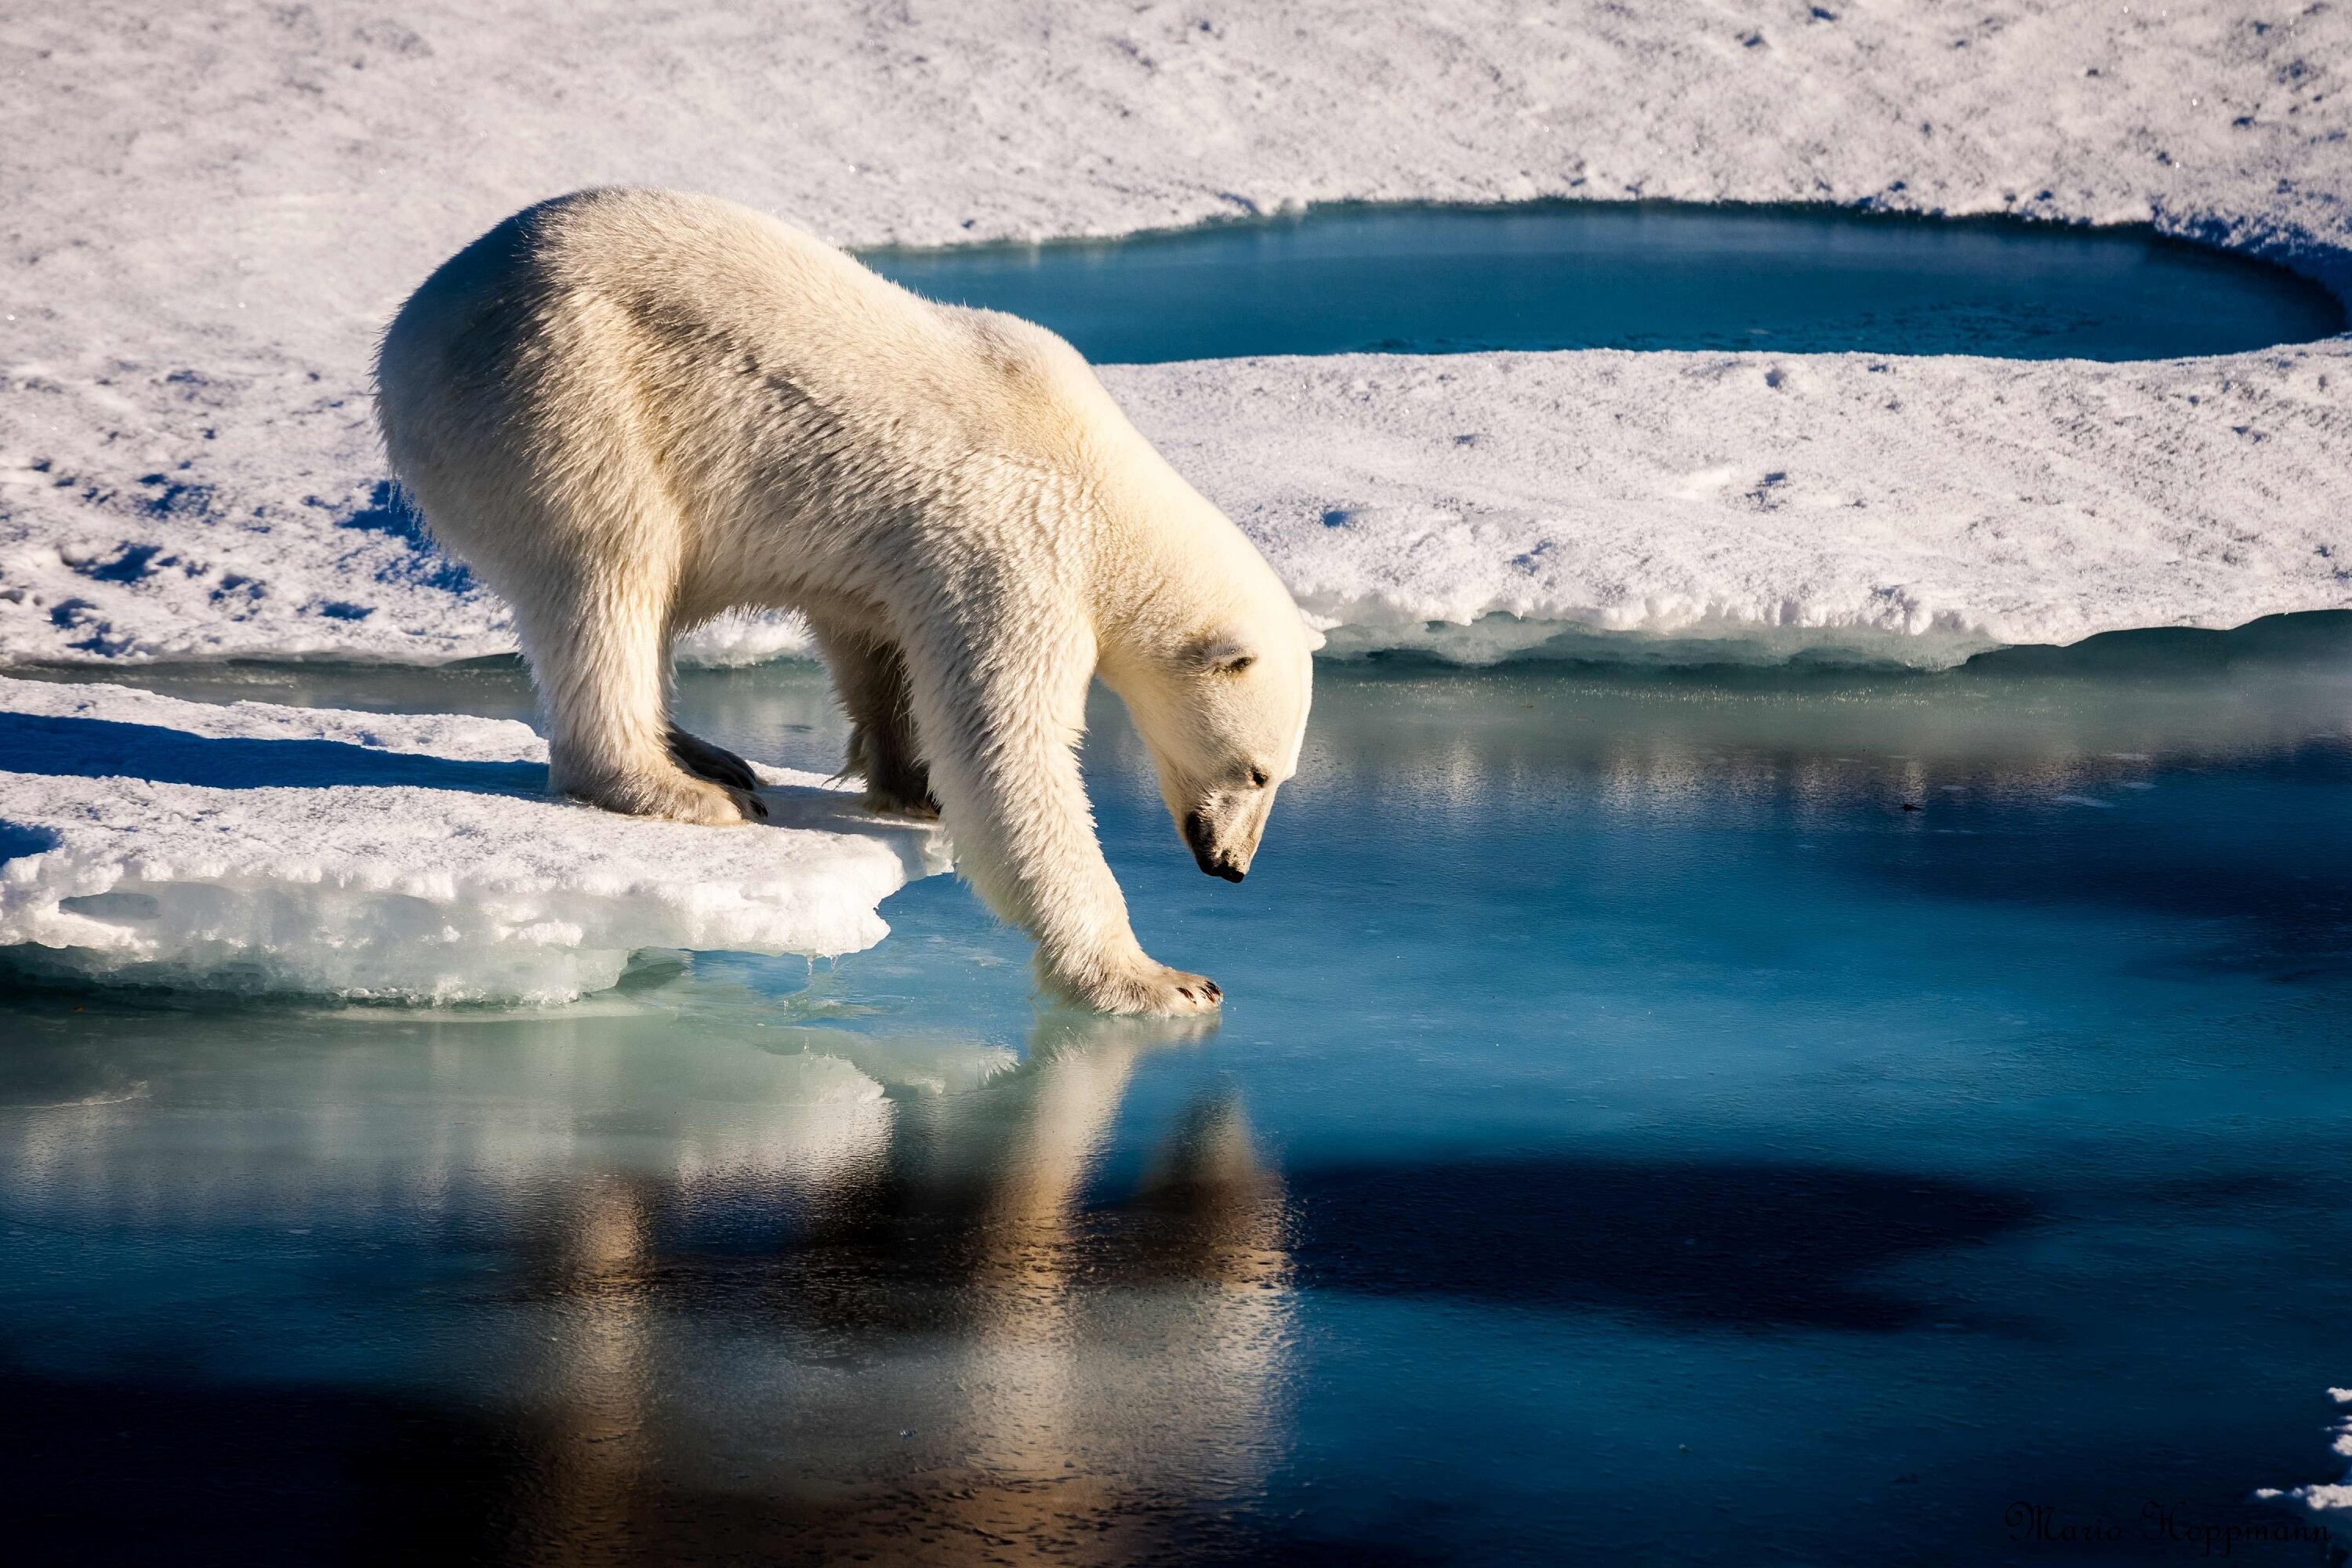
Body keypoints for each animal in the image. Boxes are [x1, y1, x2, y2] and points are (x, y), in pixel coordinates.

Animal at [376, 190, 1317, 1020]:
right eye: (1256, 771)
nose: (1232, 865)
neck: (1104, 488)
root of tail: (410, 329)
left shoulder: (906, 557)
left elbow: (879, 648)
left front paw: (910, 785)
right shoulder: (1017, 548)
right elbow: (1007, 751)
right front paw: (1161, 979)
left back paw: (706, 753)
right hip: (566, 394)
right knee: (610, 572)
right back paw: (681, 787)